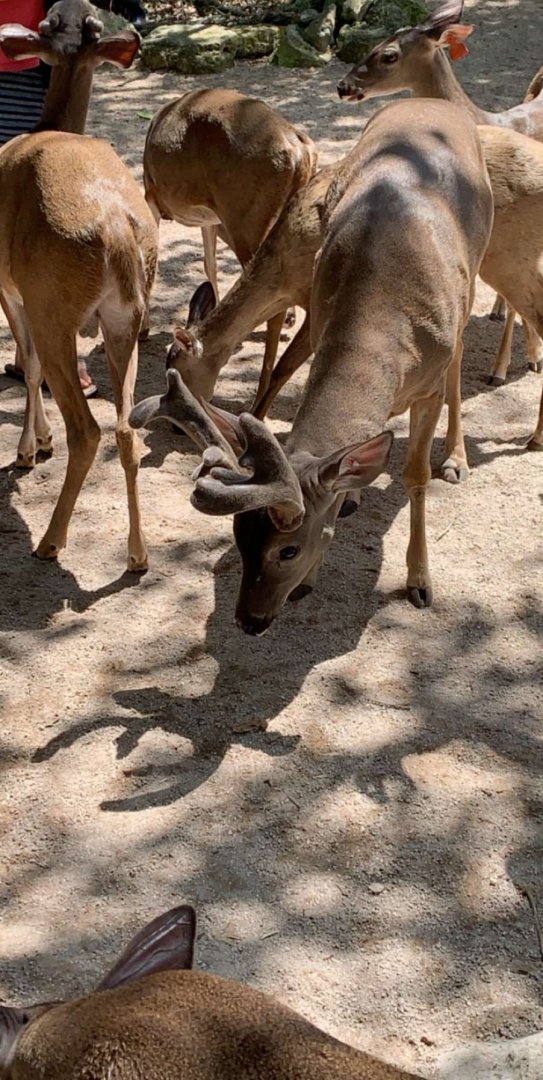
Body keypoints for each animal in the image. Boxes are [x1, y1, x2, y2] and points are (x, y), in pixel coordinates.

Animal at [0, 0, 158, 570]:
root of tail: (115, 229)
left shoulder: (12, 286)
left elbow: (26, 364)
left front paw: (30, 448)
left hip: (55, 305)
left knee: (87, 428)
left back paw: (50, 540)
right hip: (127, 316)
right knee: (127, 427)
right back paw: (137, 554)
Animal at [143, 88, 317, 401]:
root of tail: (300, 150)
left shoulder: (152, 195)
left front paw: (143, 329)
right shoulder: (209, 217)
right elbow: (209, 263)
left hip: (247, 219)